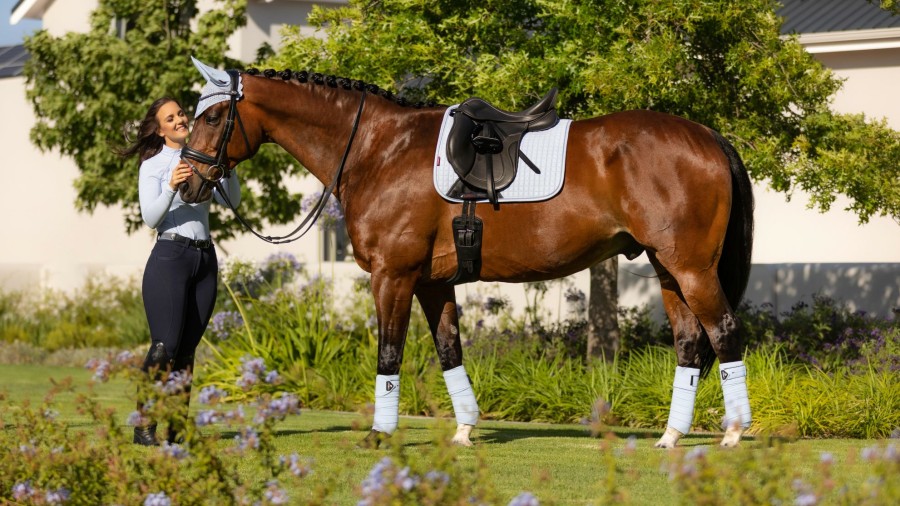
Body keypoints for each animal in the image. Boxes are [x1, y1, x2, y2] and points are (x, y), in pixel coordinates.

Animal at [181, 60, 752, 450]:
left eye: (213, 116)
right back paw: (671, 437)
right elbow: (450, 351)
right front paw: (463, 430)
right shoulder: (434, 283)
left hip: (692, 269)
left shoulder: (392, 276)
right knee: (689, 343)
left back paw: (732, 434)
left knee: (724, 332)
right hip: (667, 269)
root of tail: (709, 136)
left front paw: (379, 435)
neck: (378, 148)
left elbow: (389, 353)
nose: (187, 183)